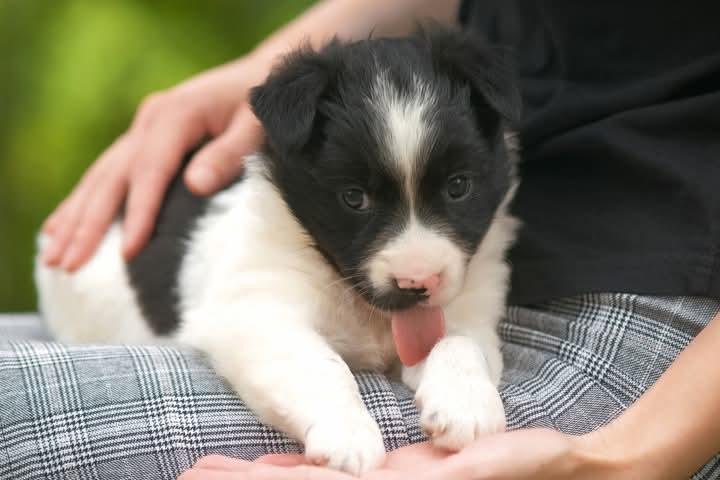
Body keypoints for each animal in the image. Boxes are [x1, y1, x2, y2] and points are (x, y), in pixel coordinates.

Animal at [35, 28, 516, 474]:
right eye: (354, 198)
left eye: (458, 187)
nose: (417, 283)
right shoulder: (256, 312)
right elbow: (320, 363)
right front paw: (348, 435)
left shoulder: (467, 311)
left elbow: (458, 343)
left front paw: (466, 405)